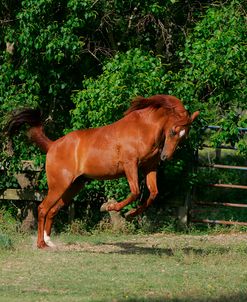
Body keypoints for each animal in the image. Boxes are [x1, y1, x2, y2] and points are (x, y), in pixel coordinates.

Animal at [6, 94, 199, 248]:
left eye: (184, 135)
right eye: (173, 131)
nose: (166, 157)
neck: (143, 128)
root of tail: (52, 145)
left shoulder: (150, 167)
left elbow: (153, 194)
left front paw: (130, 214)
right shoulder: (130, 165)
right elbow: (136, 192)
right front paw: (110, 207)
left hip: (74, 186)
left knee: (53, 210)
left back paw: (49, 241)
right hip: (59, 185)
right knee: (42, 208)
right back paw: (41, 244)